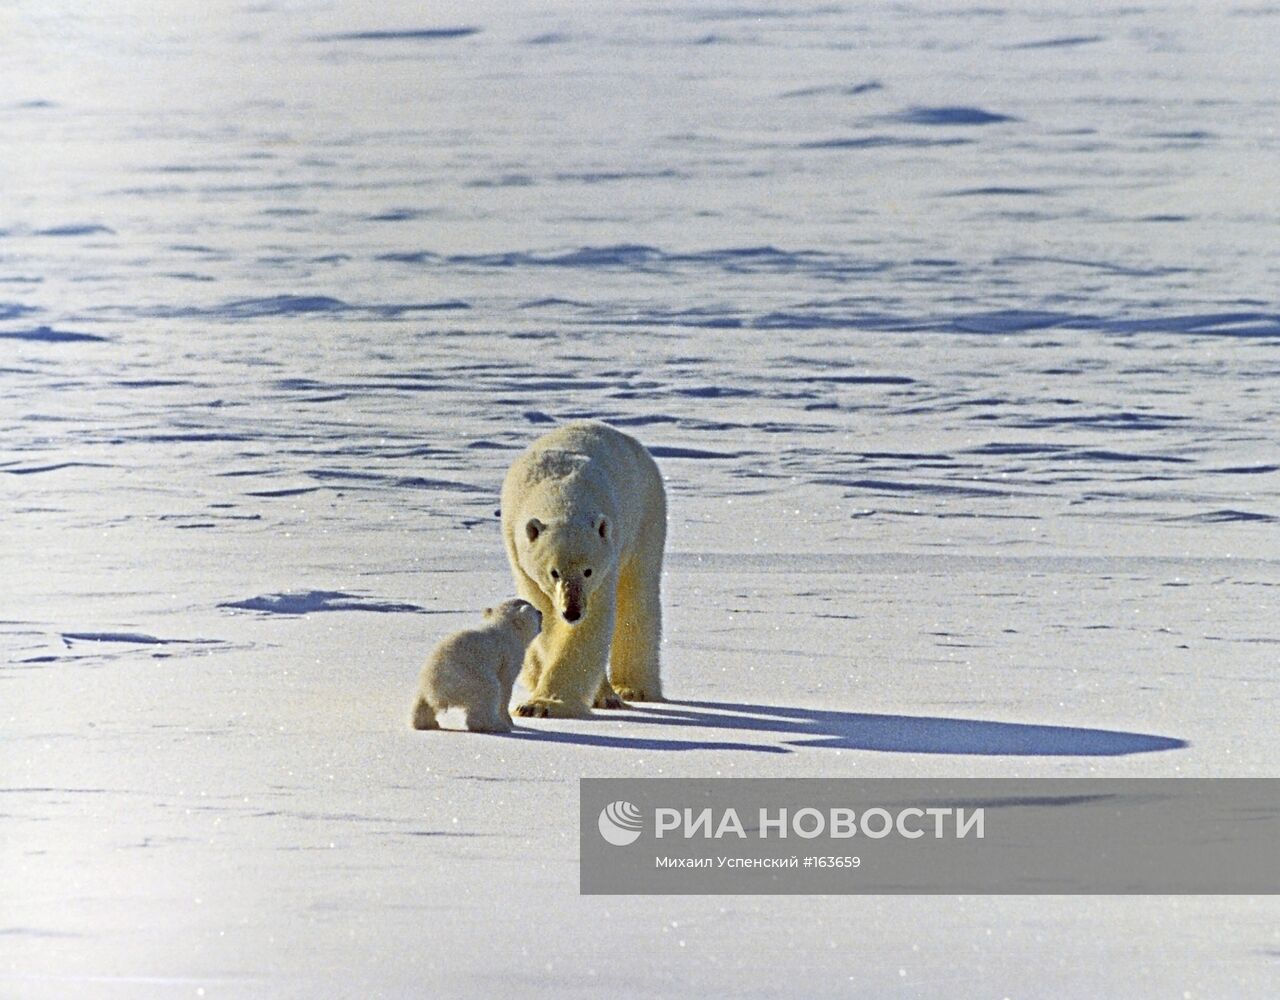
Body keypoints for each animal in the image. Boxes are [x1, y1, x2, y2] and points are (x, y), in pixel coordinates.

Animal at [499, 422, 665, 717]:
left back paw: (633, 688)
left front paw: (542, 705)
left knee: (637, 595)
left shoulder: (606, 559)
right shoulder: (521, 558)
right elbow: (547, 621)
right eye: (554, 572)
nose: (572, 611)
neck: (563, 496)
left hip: (647, 515)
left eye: (588, 571)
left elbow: (590, 623)